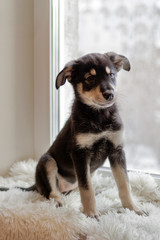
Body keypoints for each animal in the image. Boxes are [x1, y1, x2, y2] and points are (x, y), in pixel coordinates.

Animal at [0, 52, 144, 218]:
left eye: (111, 75)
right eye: (90, 78)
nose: (109, 95)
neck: (99, 116)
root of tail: (35, 184)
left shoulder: (116, 150)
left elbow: (124, 184)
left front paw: (133, 209)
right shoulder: (80, 154)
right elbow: (87, 189)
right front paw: (91, 214)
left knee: (77, 189)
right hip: (48, 161)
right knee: (53, 192)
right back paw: (57, 202)